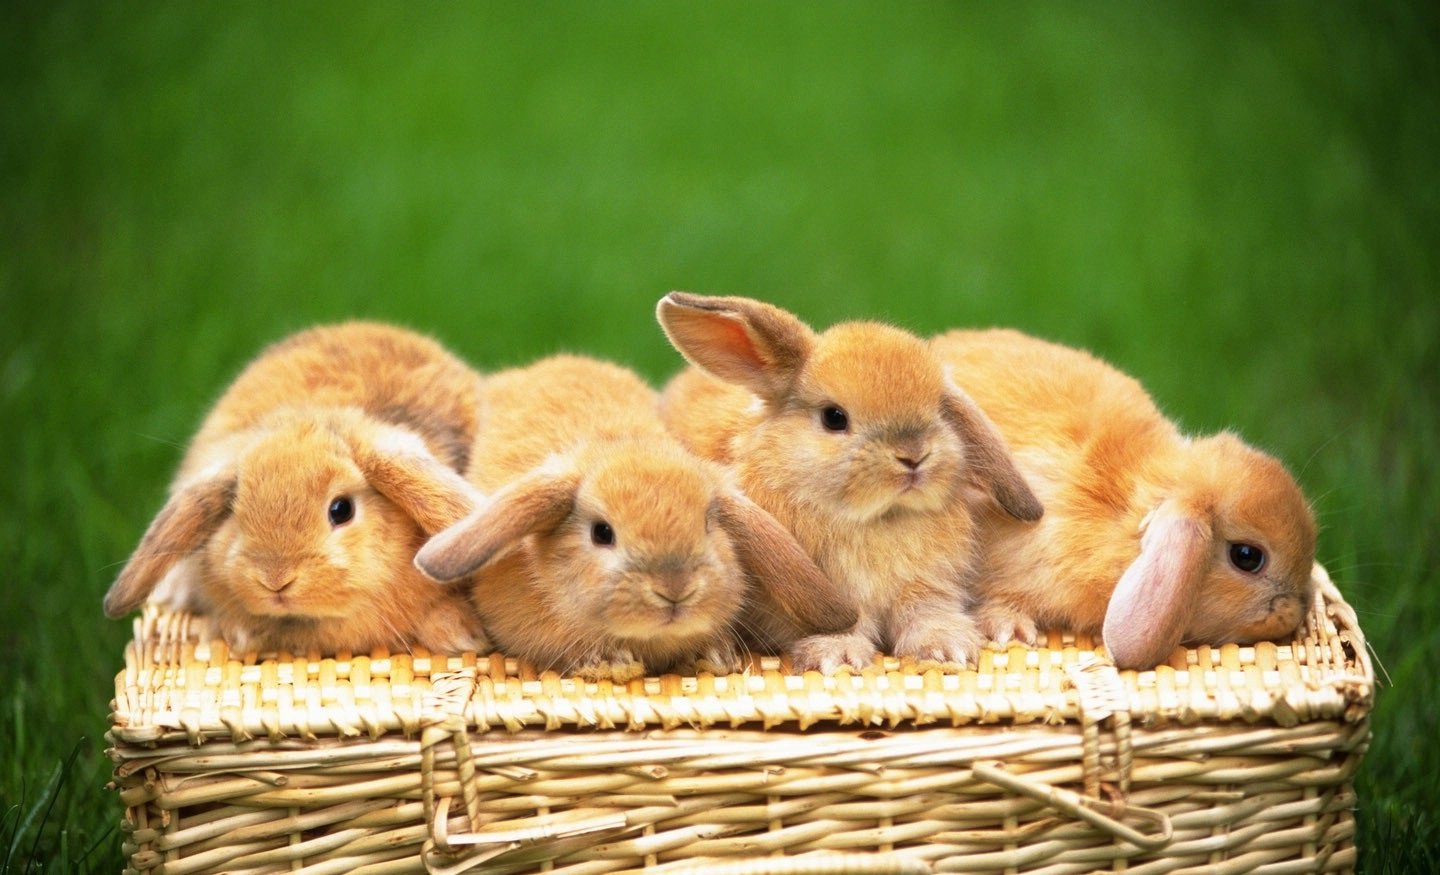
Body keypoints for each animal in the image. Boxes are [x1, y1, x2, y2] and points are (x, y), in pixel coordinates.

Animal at [655, 292, 1044, 674]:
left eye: (938, 408)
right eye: (834, 417)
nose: (914, 455)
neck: (877, 519)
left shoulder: (926, 587)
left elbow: (927, 613)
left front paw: (948, 648)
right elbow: (846, 626)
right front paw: (837, 656)